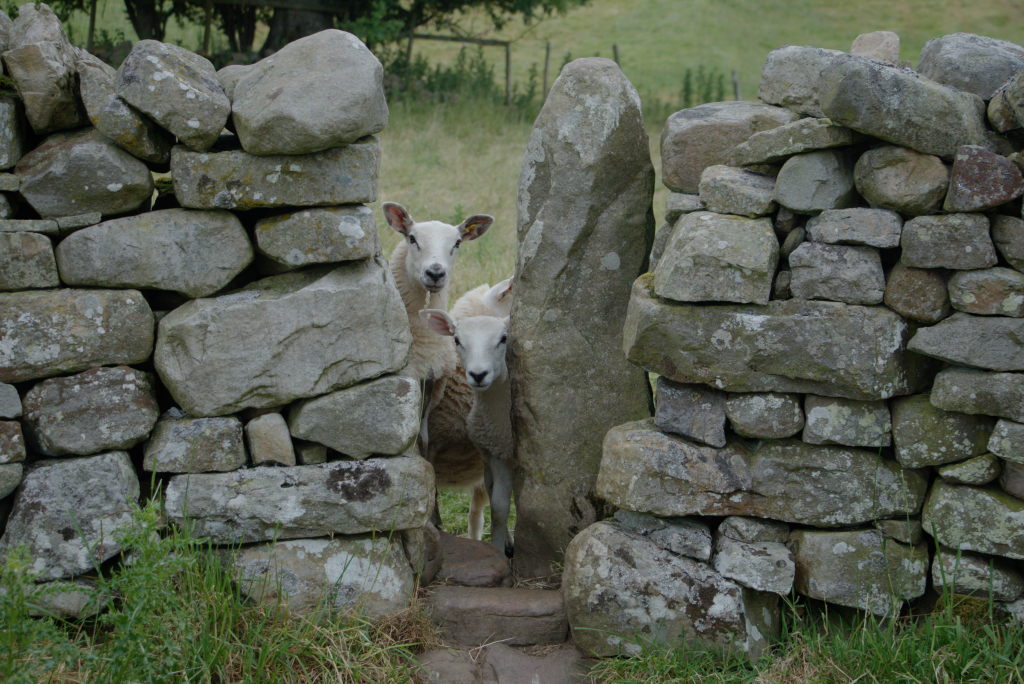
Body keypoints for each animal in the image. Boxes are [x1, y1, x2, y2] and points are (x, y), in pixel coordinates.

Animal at [417, 309, 512, 557]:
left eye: (503, 338)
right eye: (457, 340)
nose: (478, 374)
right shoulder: (496, 454)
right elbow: (498, 506)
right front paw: (499, 548)